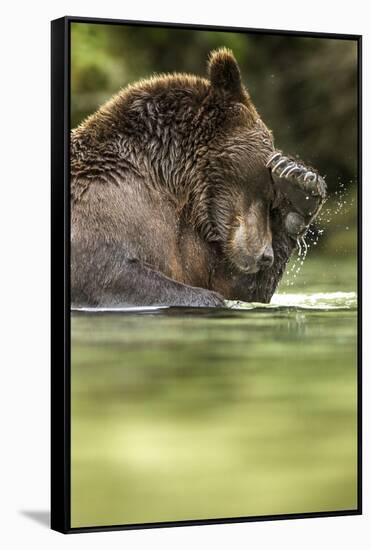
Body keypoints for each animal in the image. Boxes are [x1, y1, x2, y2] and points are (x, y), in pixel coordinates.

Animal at [71, 48, 326, 308]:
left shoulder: (197, 243)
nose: (265, 256)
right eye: (266, 191)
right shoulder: (103, 211)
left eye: (273, 198)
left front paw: (300, 185)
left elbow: (235, 286)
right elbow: (111, 274)